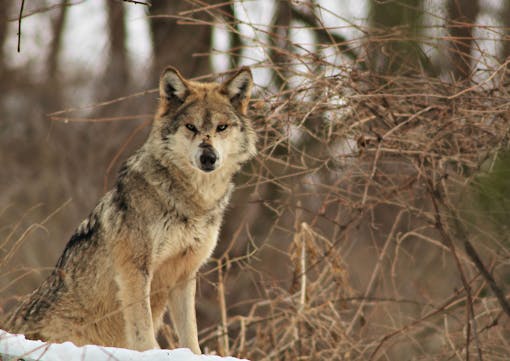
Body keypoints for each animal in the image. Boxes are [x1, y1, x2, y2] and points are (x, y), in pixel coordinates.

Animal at [2, 65, 258, 352]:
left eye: (221, 127)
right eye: (190, 127)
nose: (208, 157)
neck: (192, 203)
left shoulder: (185, 274)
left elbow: (190, 334)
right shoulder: (135, 268)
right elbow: (141, 326)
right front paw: (151, 353)